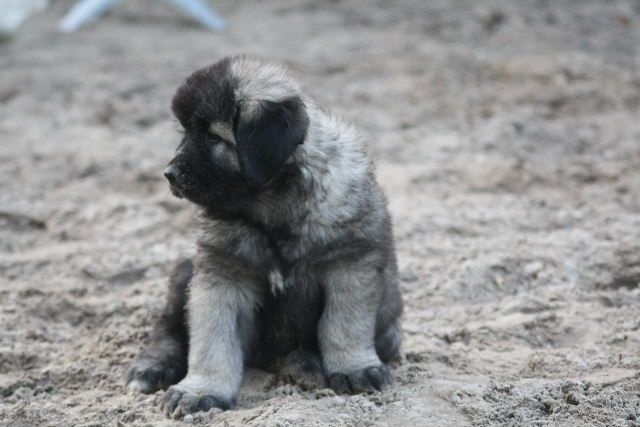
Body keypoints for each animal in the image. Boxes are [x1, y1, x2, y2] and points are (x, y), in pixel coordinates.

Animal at [127, 56, 402, 418]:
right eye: (184, 132)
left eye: (213, 138)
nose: (169, 174)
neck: (272, 210)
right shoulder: (221, 275)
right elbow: (212, 339)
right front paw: (201, 390)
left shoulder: (350, 263)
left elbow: (344, 324)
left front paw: (355, 369)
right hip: (185, 271)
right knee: (169, 328)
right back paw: (152, 366)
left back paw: (303, 364)